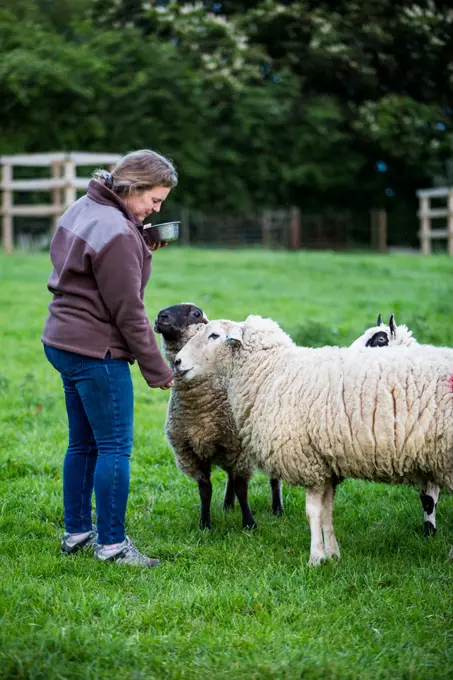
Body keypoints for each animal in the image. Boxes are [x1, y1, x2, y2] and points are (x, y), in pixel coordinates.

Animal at [154, 302, 284, 532]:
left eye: (195, 313)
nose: (161, 317)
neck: (199, 404)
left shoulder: (239, 448)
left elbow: (242, 489)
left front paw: (249, 523)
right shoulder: (191, 452)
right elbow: (205, 490)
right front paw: (205, 524)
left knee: (272, 478)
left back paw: (277, 508)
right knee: (230, 476)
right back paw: (227, 505)